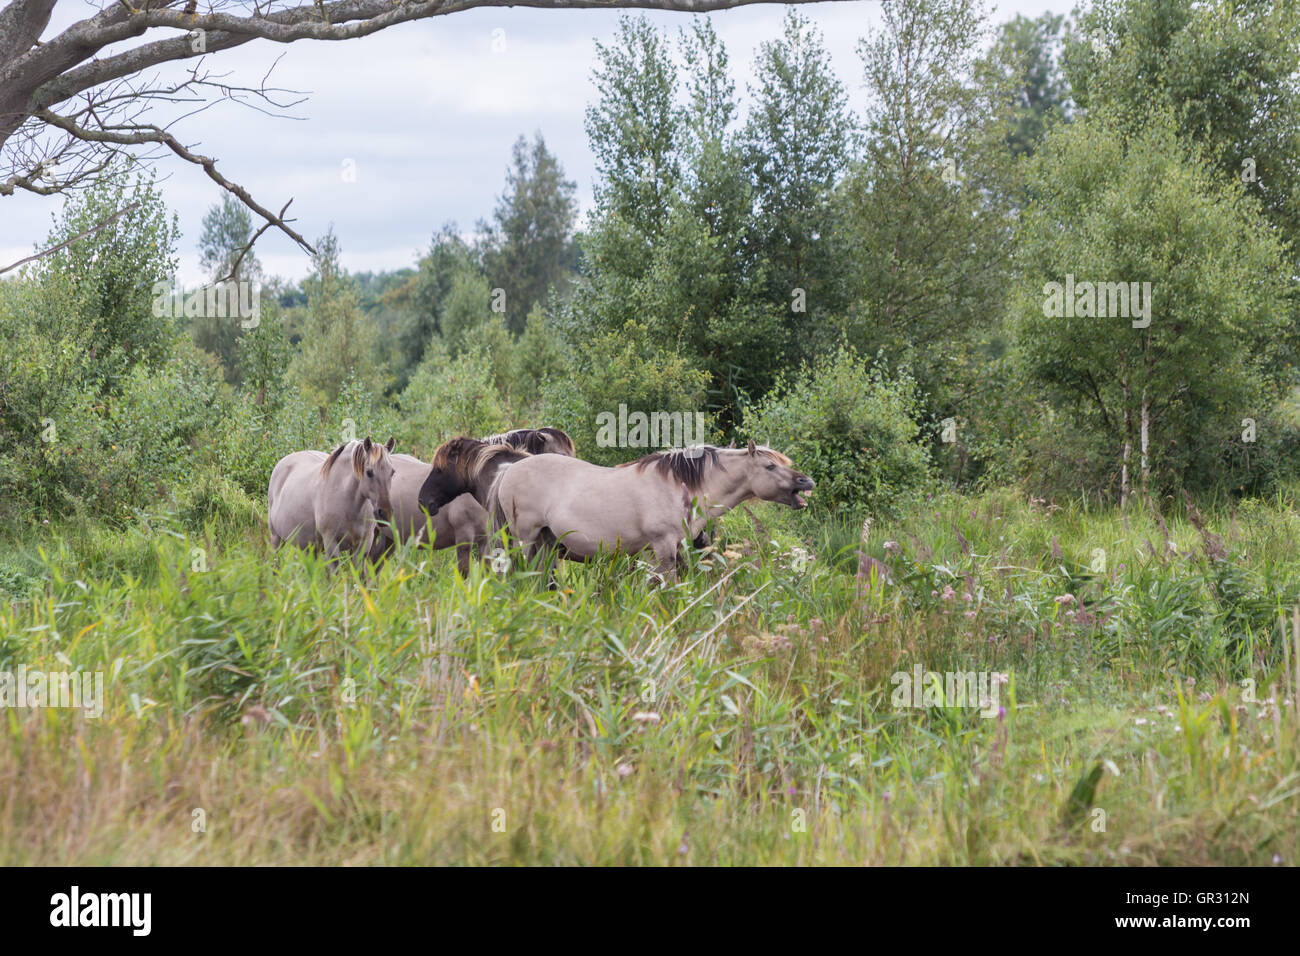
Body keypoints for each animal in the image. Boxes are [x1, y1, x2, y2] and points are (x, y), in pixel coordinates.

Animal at [488, 442, 811, 582]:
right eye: (770, 466)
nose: (806, 482)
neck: (680, 486)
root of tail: (508, 469)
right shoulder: (663, 546)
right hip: (525, 539)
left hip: (544, 543)